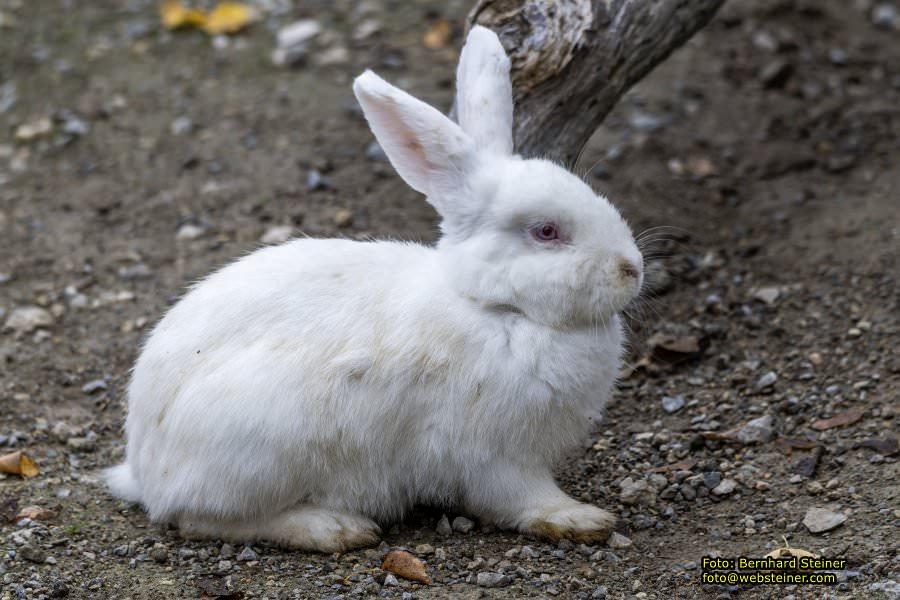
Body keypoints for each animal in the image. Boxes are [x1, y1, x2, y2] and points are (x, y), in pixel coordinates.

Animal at [105, 28, 644, 552]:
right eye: (547, 232)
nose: (632, 269)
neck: (496, 308)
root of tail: (145, 472)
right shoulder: (493, 455)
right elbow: (522, 497)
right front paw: (579, 518)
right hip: (260, 451)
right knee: (206, 521)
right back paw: (333, 528)